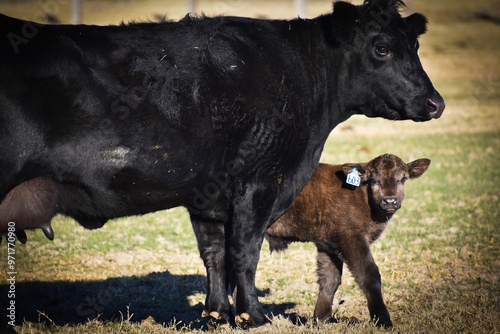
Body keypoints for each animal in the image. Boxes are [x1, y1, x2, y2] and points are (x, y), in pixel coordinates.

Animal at [266, 155, 430, 328]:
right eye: (373, 180)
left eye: (403, 178)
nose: (390, 201)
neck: (362, 196)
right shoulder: (352, 239)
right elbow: (369, 275)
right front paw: (383, 320)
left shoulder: (327, 245)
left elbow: (330, 279)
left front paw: (321, 319)